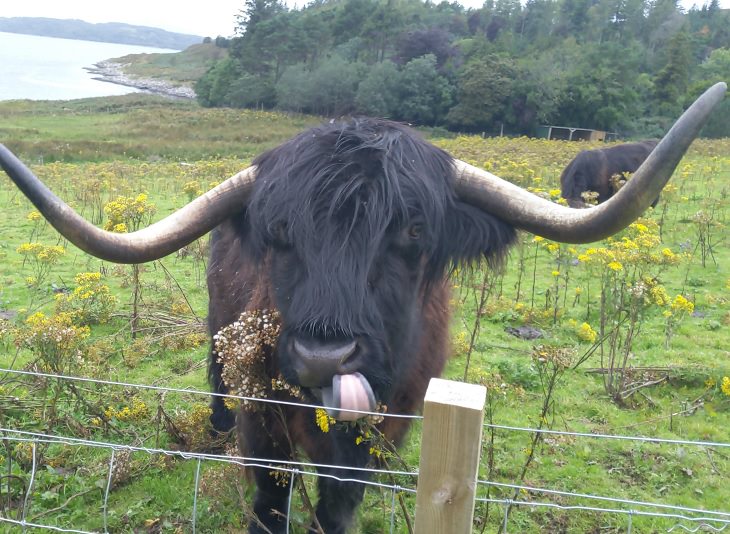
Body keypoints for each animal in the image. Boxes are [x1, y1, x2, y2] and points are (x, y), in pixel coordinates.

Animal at [1, 84, 724, 534]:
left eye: (411, 231)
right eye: (280, 232)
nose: (324, 355)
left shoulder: (387, 425)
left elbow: (340, 502)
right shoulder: (265, 421)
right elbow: (270, 495)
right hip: (217, 339)